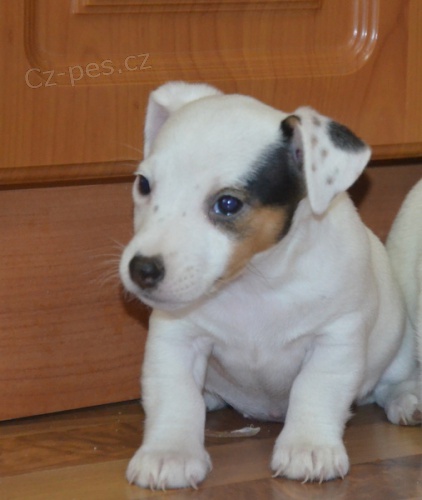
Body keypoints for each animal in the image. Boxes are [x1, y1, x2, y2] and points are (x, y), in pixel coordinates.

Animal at [119, 81, 416, 489]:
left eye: (228, 204)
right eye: (144, 184)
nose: (142, 269)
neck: (254, 281)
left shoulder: (334, 339)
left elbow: (315, 388)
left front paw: (309, 446)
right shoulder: (176, 338)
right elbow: (176, 394)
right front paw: (170, 451)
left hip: (398, 347)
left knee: (392, 381)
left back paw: (406, 400)